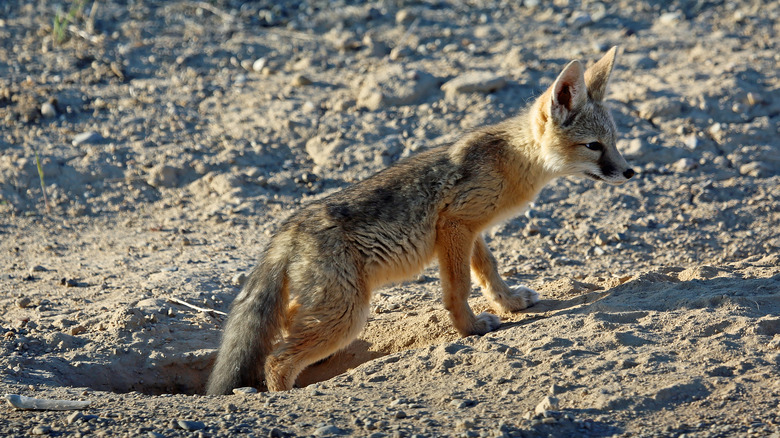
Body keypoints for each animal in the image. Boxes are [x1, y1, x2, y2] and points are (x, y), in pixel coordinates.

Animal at [206, 46, 632, 396]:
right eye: (594, 147)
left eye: (614, 142)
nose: (630, 172)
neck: (511, 159)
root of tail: (288, 226)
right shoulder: (455, 225)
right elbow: (458, 288)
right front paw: (470, 328)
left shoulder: (470, 228)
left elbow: (489, 272)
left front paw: (509, 302)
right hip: (346, 315)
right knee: (276, 360)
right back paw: (285, 397)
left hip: (328, 309)